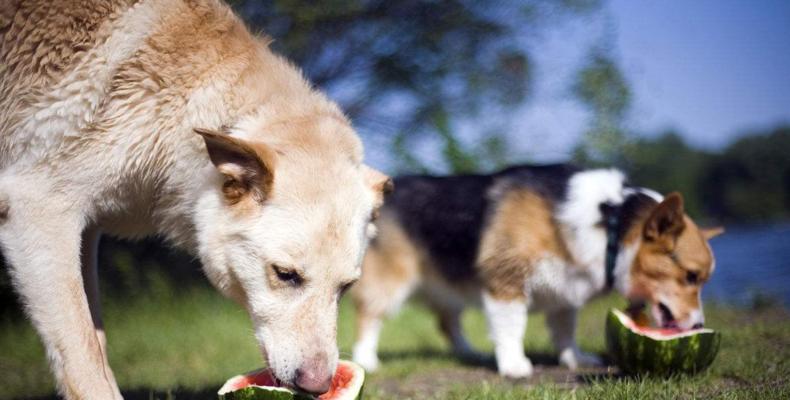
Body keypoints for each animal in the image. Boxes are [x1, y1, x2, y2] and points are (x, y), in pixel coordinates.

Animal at [0, 1, 390, 398]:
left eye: (346, 287)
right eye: (285, 275)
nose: (318, 385)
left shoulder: (86, 231)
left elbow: (97, 341)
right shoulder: (40, 211)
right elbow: (84, 356)